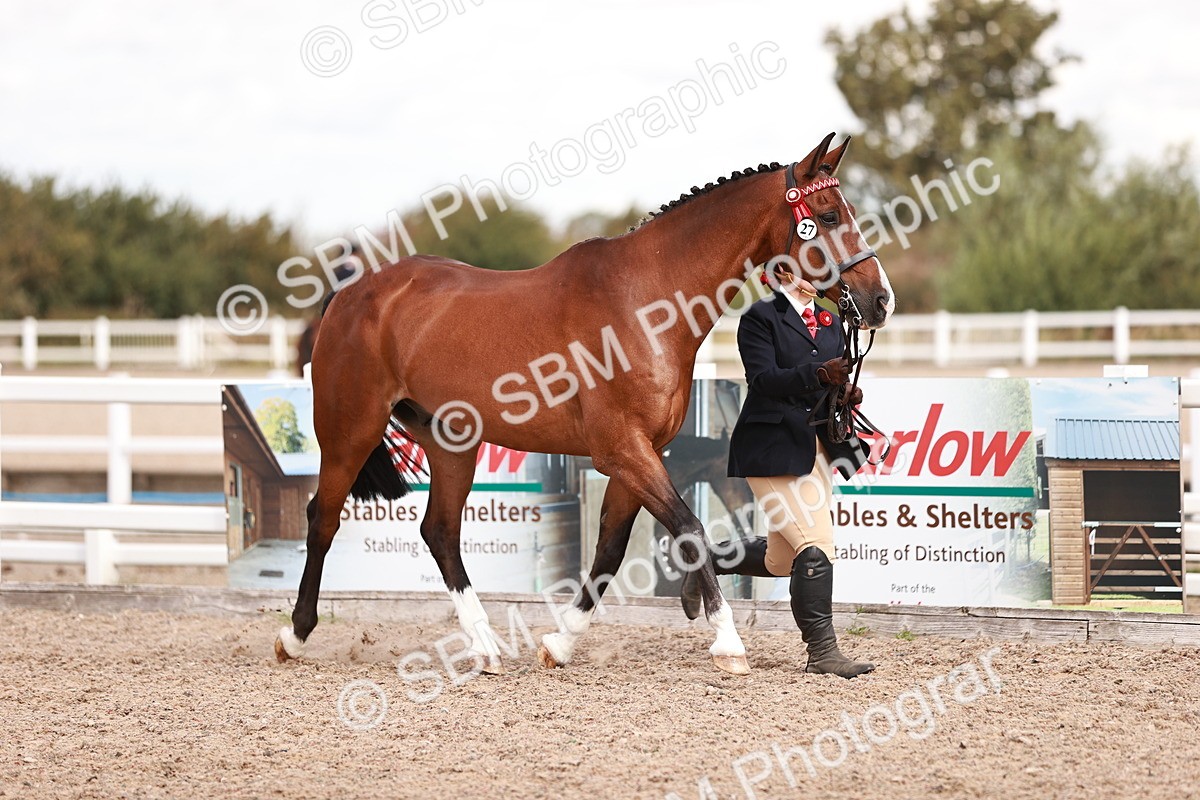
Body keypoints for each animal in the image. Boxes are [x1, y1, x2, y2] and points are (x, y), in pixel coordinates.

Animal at [273, 133, 895, 676]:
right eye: (830, 215)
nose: (880, 299)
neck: (643, 301)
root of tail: (350, 294)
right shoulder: (622, 451)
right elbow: (689, 529)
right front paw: (728, 645)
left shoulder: (637, 456)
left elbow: (610, 553)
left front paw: (559, 644)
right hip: (349, 431)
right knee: (323, 518)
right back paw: (295, 635)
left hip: (453, 444)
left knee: (440, 533)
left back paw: (486, 648)